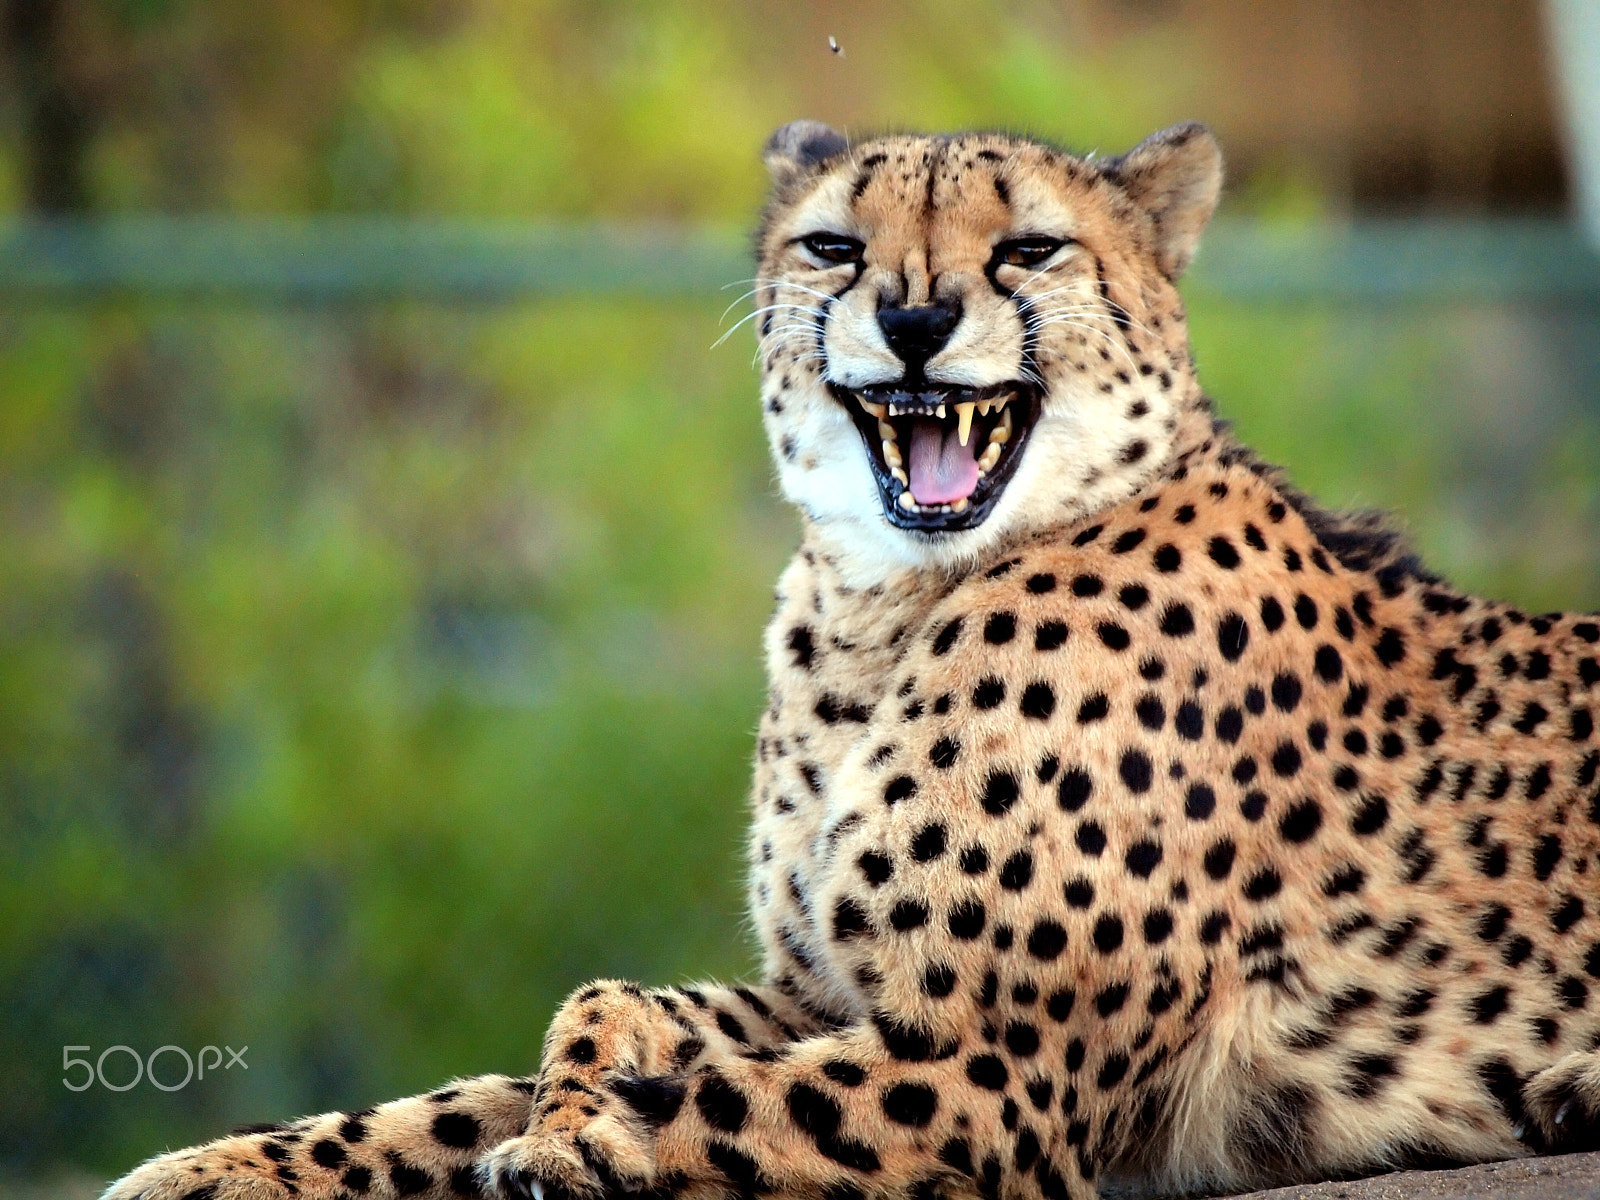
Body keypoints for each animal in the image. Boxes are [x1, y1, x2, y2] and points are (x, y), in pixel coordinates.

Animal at [105, 119, 1600, 1200]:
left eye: (1029, 250)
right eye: (833, 244)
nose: (917, 320)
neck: (887, 611)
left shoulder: (998, 1066)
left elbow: (713, 1100)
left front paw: (587, 1138)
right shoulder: (821, 991)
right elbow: (530, 1050)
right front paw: (222, 1168)